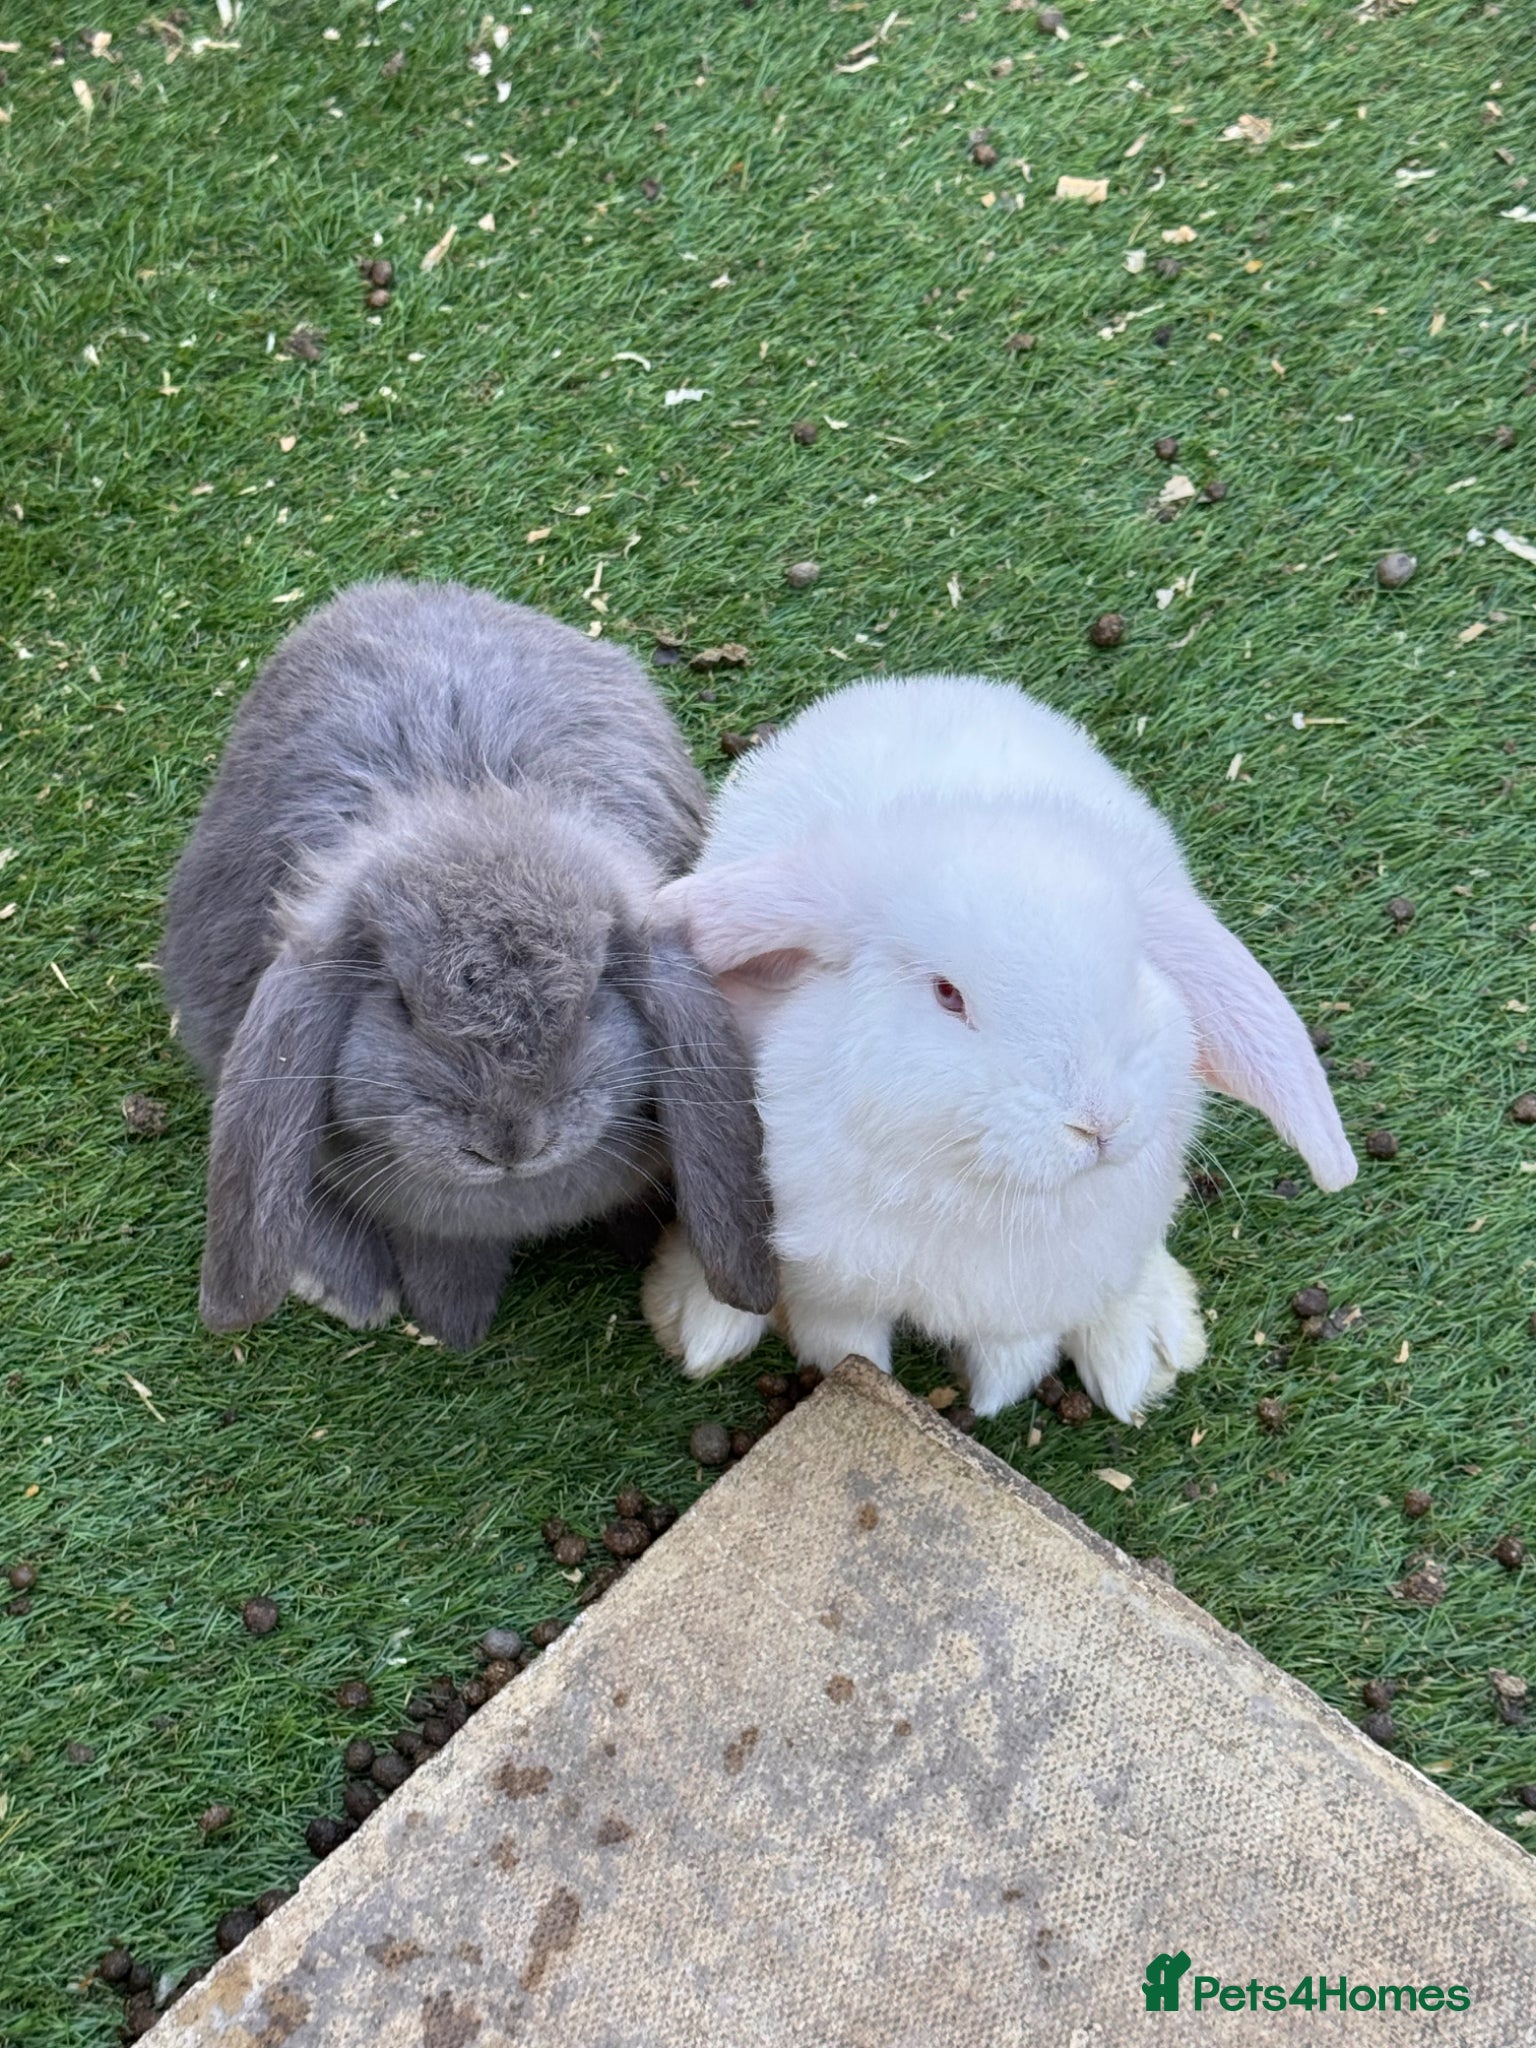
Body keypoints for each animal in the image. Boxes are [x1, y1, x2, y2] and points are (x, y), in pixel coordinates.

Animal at [161, 579, 774, 1348]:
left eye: (592, 1000)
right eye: (400, 1004)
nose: (510, 1143)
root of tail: (400, 592)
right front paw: (450, 1321)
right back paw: (352, 1290)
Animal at [642, 673, 1356, 1424]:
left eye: (1134, 970)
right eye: (947, 994)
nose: (1100, 1122)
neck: (983, 1188)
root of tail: (929, 685)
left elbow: (1012, 1349)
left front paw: (991, 1396)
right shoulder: (831, 1284)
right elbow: (847, 1344)